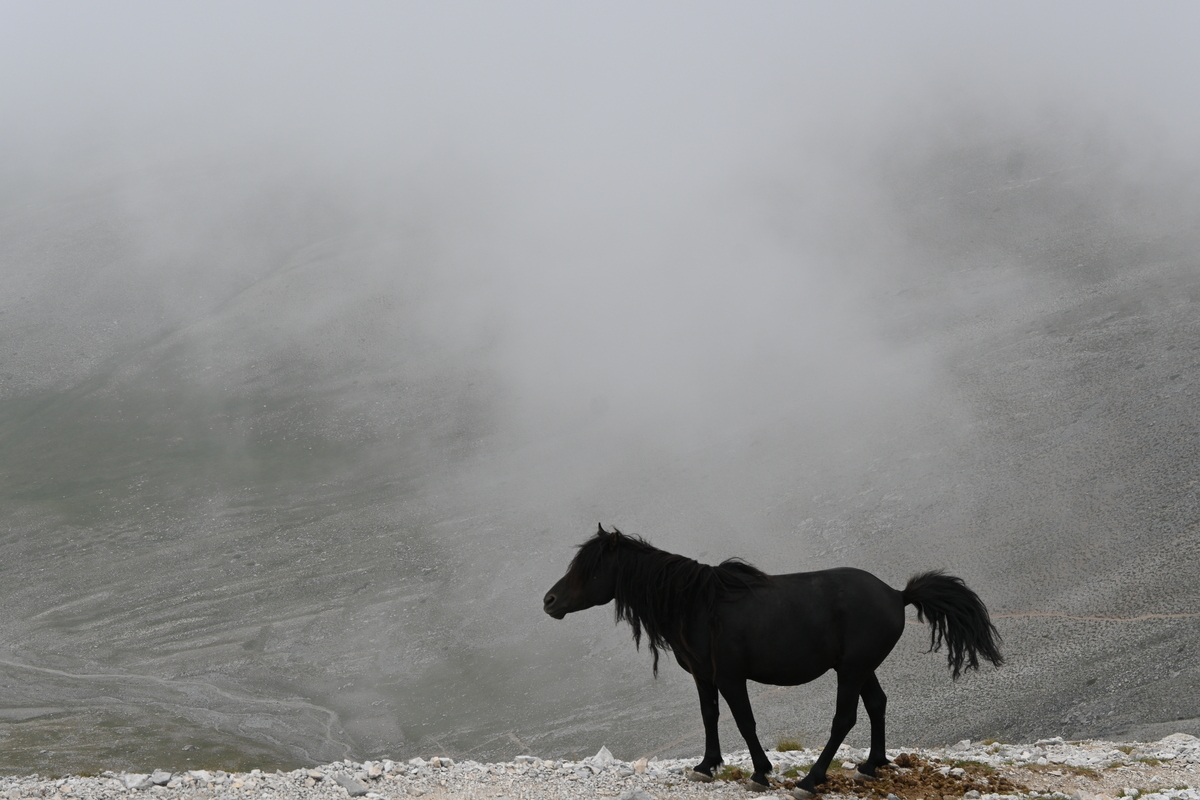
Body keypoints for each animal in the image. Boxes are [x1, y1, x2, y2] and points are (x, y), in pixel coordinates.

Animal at [544, 525, 1003, 796]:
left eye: (589, 568)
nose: (549, 601)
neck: (696, 603)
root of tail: (897, 594)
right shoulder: (704, 678)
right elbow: (709, 716)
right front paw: (706, 765)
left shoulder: (731, 678)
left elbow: (745, 722)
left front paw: (761, 772)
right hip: (861, 668)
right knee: (877, 704)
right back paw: (871, 766)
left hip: (851, 670)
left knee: (845, 718)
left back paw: (811, 780)